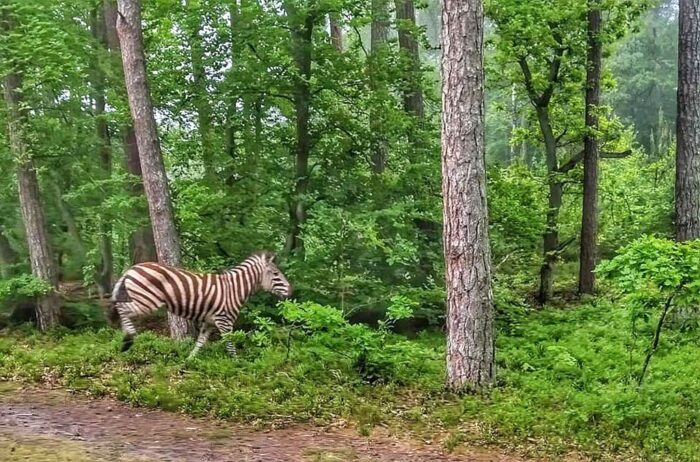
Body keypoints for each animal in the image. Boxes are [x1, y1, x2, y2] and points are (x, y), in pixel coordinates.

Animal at [109, 251, 292, 359]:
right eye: (276, 274)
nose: (291, 291)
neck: (234, 289)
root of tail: (132, 268)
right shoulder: (224, 321)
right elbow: (230, 345)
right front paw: (237, 366)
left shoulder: (208, 323)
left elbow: (199, 344)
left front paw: (188, 363)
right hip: (147, 300)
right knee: (123, 309)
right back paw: (128, 339)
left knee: (121, 308)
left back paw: (124, 339)